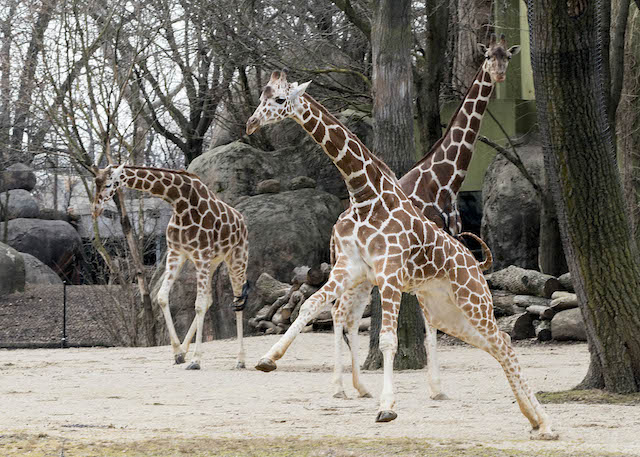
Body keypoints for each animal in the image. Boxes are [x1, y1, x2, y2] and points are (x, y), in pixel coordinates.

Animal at [92, 165, 249, 370]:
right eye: (95, 182)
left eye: (109, 184)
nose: (95, 210)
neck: (179, 201)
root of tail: (242, 221)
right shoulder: (177, 253)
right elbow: (162, 297)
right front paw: (177, 353)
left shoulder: (201, 255)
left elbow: (198, 305)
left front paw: (196, 360)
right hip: (214, 262)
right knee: (209, 299)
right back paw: (185, 350)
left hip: (236, 258)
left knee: (237, 300)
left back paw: (240, 360)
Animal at [245, 70, 557, 439]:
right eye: (262, 97)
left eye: (280, 99)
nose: (251, 123)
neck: (365, 196)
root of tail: (475, 263)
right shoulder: (349, 270)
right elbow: (309, 305)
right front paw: (268, 359)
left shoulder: (390, 275)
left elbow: (388, 341)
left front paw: (386, 407)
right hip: (448, 312)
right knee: (497, 345)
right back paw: (535, 421)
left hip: (474, 301)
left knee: (504, 342)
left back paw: (546, 423)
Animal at [330, 33, 519, 401]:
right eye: (488, 56)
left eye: (507, 56)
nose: (500, 75)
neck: (444, 181)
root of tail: (333, 227)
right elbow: (429, 321)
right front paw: (435, 387)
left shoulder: (443, 251)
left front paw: (436, 386)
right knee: (338, 312)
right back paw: (342, 387)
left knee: (347, 315)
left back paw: (354, 385)